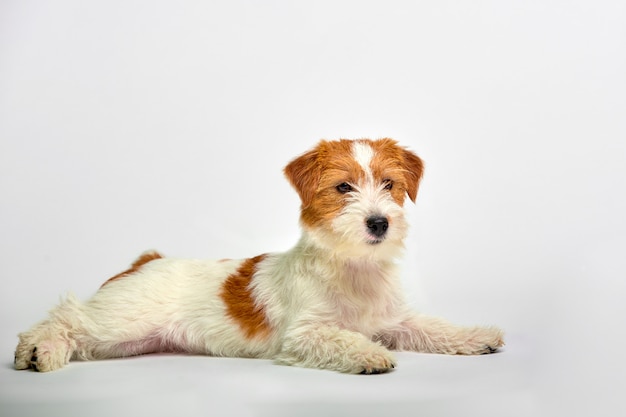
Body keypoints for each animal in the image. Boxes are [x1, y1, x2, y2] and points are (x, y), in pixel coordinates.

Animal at [13, 137, 502, 374]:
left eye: (389, 184)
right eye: (343, 187)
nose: (379, 222)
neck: (352, 266)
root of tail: (147, 260)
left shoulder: (396, 320)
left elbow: (434, 327)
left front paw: (475, 335)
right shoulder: (303, 335)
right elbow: (342, 339)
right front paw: (369, 354)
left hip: (129, 341)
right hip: (119, 321)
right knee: (66, 315)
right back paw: (38, 349)